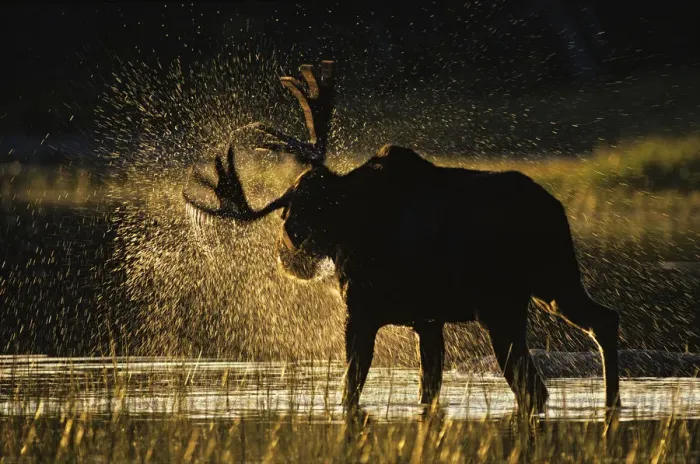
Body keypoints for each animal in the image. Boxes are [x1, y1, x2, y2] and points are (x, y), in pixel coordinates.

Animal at [183, 60, 621, 414]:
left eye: (293, 210)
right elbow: (428, 392)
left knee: (534, 387)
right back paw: (611, 401)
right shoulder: (427, 319)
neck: (351, 219)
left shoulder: (360, 311)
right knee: (602, 321)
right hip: (553, 281)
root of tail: (555, 209)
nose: (287, 257)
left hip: (504, 304)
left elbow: (349, 391)